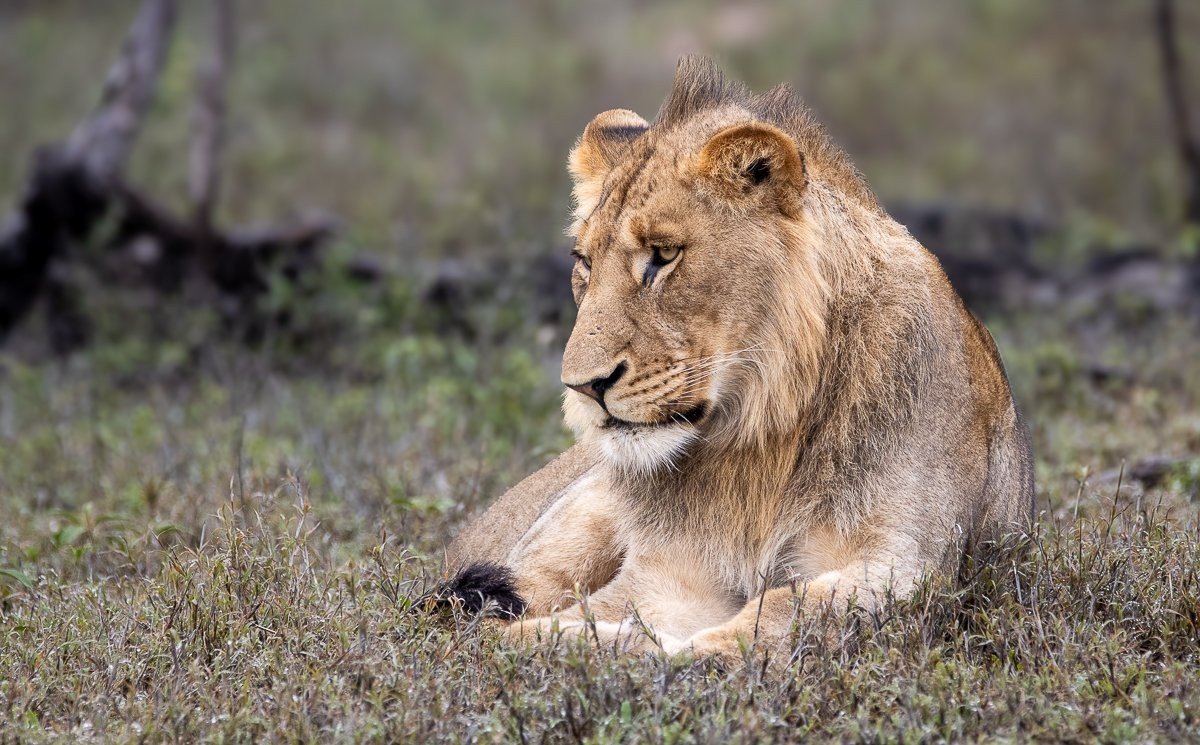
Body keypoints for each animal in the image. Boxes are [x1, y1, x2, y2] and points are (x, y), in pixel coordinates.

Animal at [440, 56, 1034, 666]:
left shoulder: (911, 564)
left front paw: (683, 653)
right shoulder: (674, 572)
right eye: (584, 261)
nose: (584, 386)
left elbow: (785, 614)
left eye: (663, 255)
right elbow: (582, 618)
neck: (762, 429)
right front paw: (593, 643)